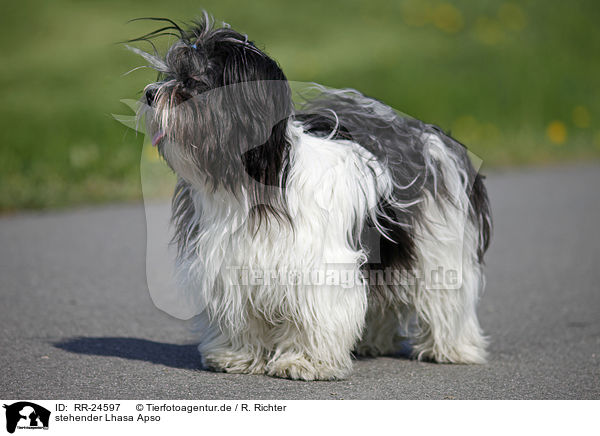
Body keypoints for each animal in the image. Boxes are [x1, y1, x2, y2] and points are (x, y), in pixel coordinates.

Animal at [131, 13, 492, 380]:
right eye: (169, 75)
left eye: (191, 82)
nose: (149, 93)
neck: (256, 181)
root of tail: (424, 135)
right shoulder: (231, 261)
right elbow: (243, 317)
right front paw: (238, 356)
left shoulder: (317, 268)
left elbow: (312, 318)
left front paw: (303, 361)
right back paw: (373, 342)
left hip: (437, 245)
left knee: (445, 298)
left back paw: (450, 349)